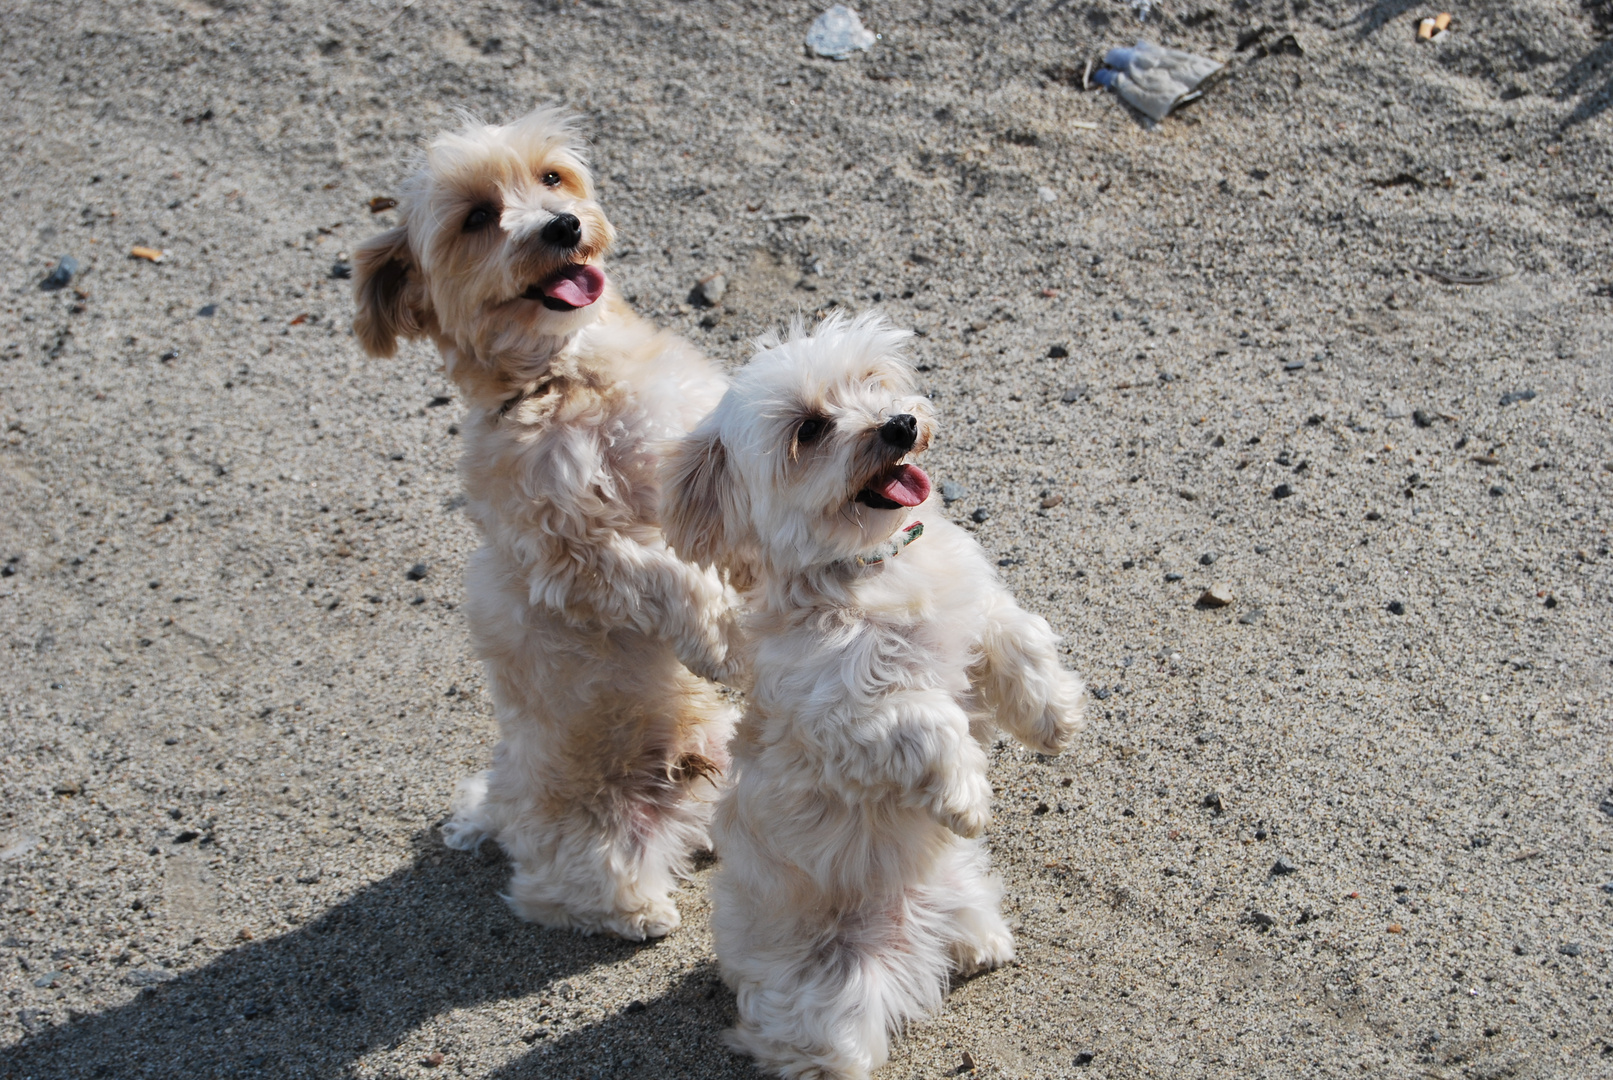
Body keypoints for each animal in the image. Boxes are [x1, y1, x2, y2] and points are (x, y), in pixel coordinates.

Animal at [350, 108, 738, 941]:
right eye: (474, 218)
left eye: (551, 177)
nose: (561, 225)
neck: (568, 375)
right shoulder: (569, 551)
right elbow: (660, 572)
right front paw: (717, 634)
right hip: (593, 842)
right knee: (557, 892)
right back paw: (641, 913)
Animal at [661, 312, 1090, 1080]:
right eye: (808, 430)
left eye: (868, 381)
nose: (898, 423)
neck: (871, 571)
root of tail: (910, 929)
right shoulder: (848, 712)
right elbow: (927, 719)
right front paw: (966, 795)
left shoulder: (972, 614)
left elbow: (1018, 635)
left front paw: (1054, 715)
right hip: (827, 1000)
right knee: (804, 1044)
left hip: (959, 885)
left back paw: (976, 943)